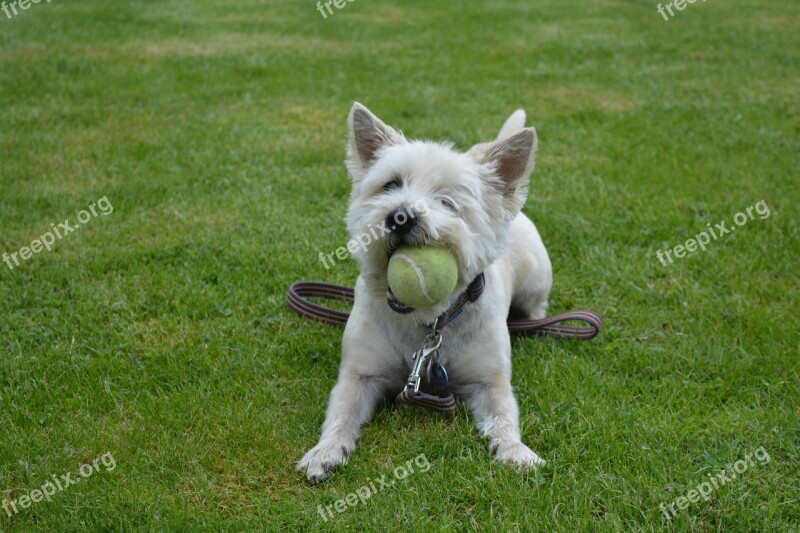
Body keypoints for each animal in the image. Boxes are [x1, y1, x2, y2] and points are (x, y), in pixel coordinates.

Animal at [296, 103, 552, 482]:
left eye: (448, 201)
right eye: (390, 185)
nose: (400, 216)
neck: (425, 324)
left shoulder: (489, 381)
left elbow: (503, 418)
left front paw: (517, 452)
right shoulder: (360, 374)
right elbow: (341, 413)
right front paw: (323, 452)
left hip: (536, 280)